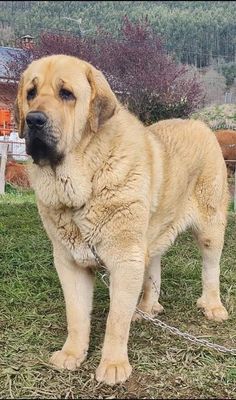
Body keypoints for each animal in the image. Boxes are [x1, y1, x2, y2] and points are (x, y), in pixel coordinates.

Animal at [14, 54, 229, 386]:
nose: (34, 120)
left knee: (211, 269)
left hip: (210, 227)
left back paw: (213, 306)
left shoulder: (124, 259)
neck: (84, 184)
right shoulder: (69, 262)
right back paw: (146, 308)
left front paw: (113, 365)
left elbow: (116, 319)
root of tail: (198, 124)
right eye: (31, 93)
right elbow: (76, 314)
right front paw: (72, 354)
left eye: (67, 94)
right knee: (153, 267)